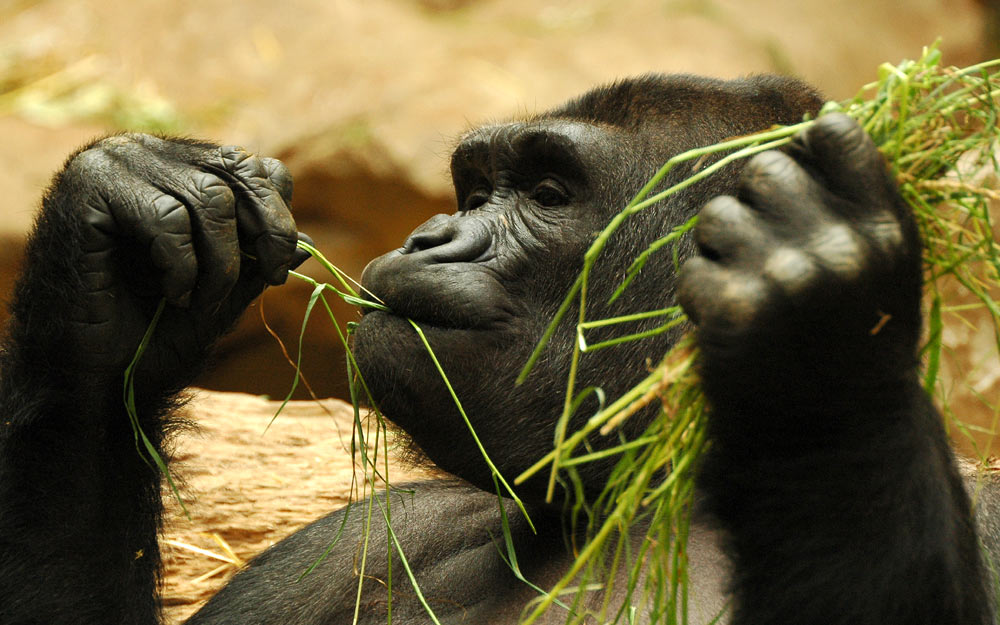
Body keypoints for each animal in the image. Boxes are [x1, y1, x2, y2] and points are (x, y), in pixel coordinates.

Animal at [0, 74, 992, 624]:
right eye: (476, 190)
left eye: (548, 193)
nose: (432, 236)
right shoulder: (360, 537)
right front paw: (109, 264)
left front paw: (824, 336)